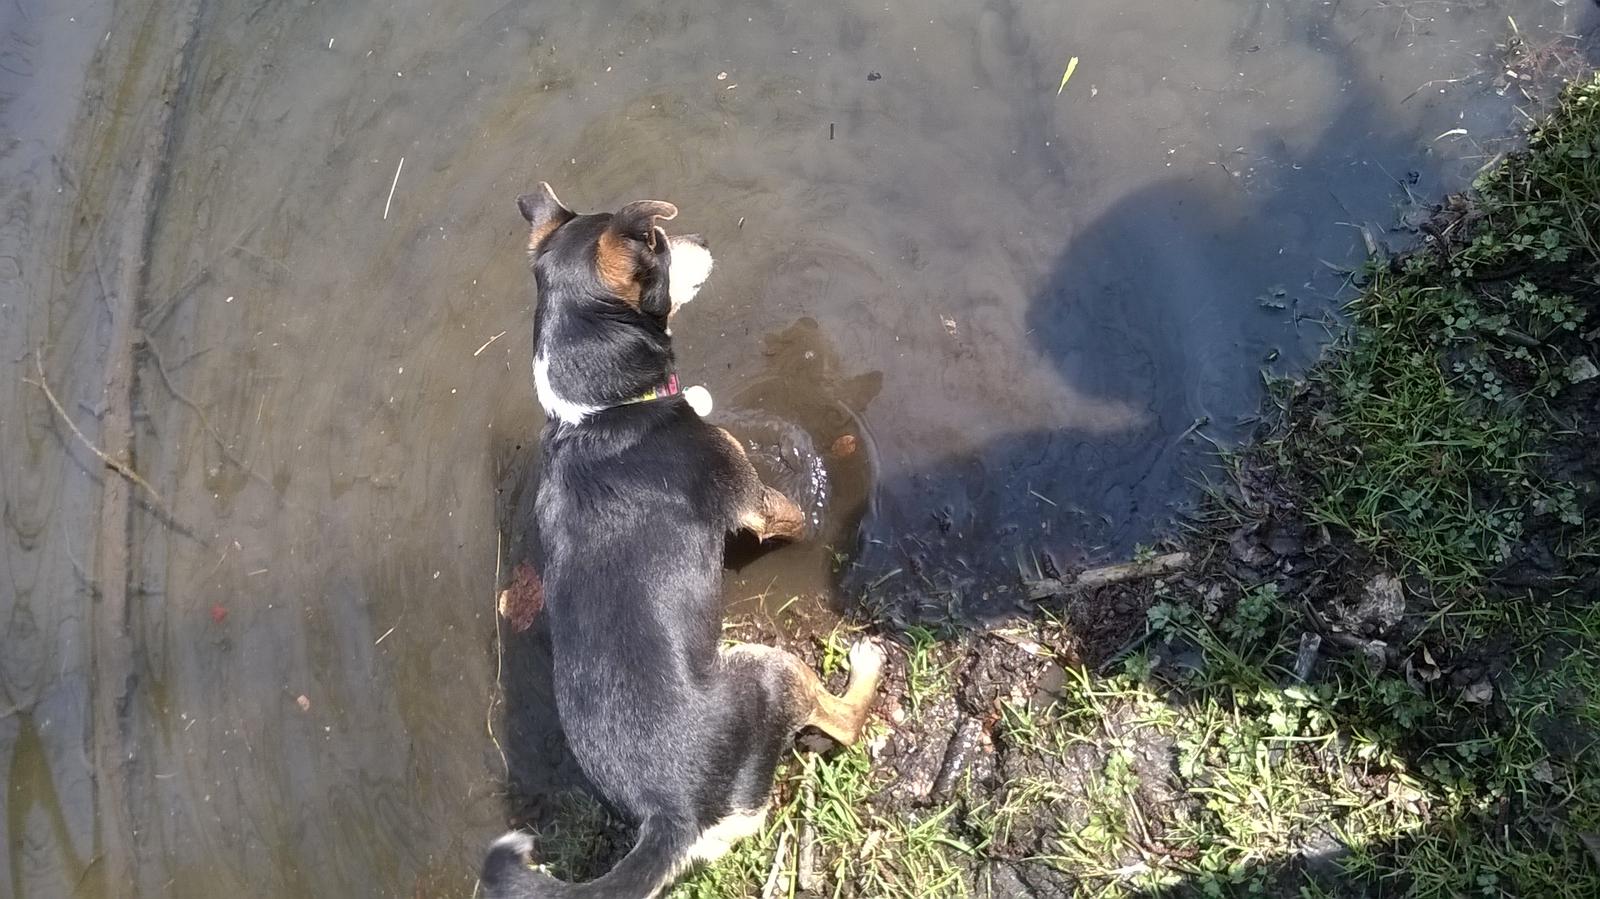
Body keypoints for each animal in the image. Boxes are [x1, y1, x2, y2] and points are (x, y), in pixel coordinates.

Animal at [480, 184, 885, 898]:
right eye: (660, 244)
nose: (707, 240)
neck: (597, 412)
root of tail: (665, 816)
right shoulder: (754, 503)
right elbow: (790, 515)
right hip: (769, 670)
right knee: (843, 721)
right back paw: (866, 667)